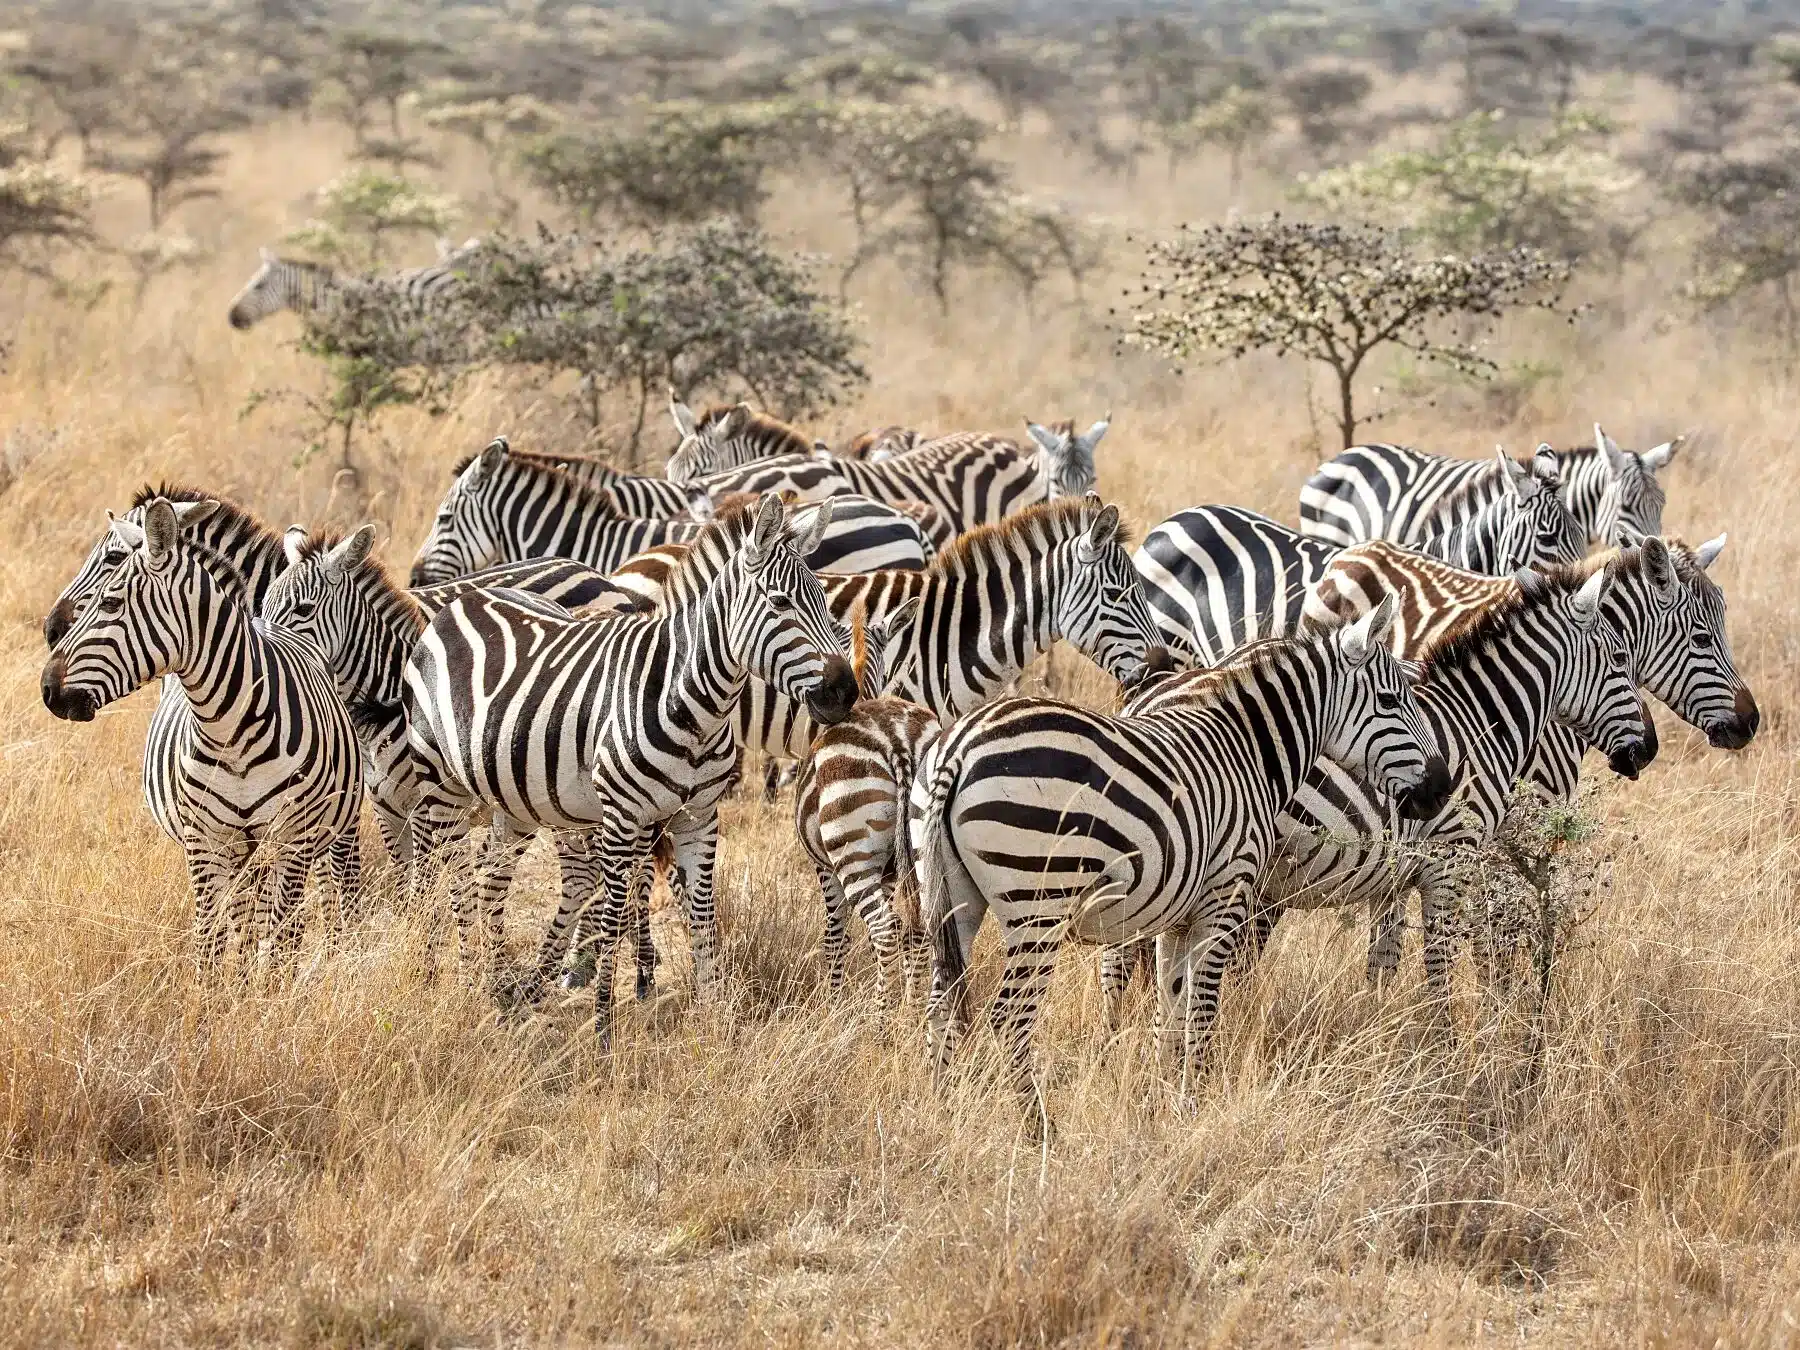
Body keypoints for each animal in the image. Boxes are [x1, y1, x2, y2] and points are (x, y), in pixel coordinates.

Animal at [41, 499, 365, 970]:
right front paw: (218, 991)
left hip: (322, 831)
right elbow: (210, 946)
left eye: (111, 601)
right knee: (245, 921)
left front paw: (275, 989)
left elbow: (283, 943)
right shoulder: (205, 844)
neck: (231, 730)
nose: (47, 689)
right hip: (242, 852)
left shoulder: (291, 841)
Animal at [402, 494, 859, 1034]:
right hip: (438, 781)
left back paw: (499, 987)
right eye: (780, 603)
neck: (693, 706)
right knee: (439, 874)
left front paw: (712, 1016)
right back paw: (445, 975)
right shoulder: (621, 819)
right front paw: (604, 1025)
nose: (845, 692)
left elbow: (701, 912)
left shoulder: (698, 819)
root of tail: (466, 598)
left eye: (826, 603)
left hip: (511, 796)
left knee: (489, 876)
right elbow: (614, 915)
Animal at [908, 598, 1450, 1111]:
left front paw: (1160, 1097)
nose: (1443, 789)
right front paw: (1195, 1098)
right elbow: (1202, 1008)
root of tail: (957, 748)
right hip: (1037, 904)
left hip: (954, 896)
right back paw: (1039, 1129)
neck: (1248, 753)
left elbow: (1169, 1008)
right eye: (1391, 700)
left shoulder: (1177, 917)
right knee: (1009, 1017)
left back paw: (939, 1109)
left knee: (941, 1007)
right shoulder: (1224, 897)